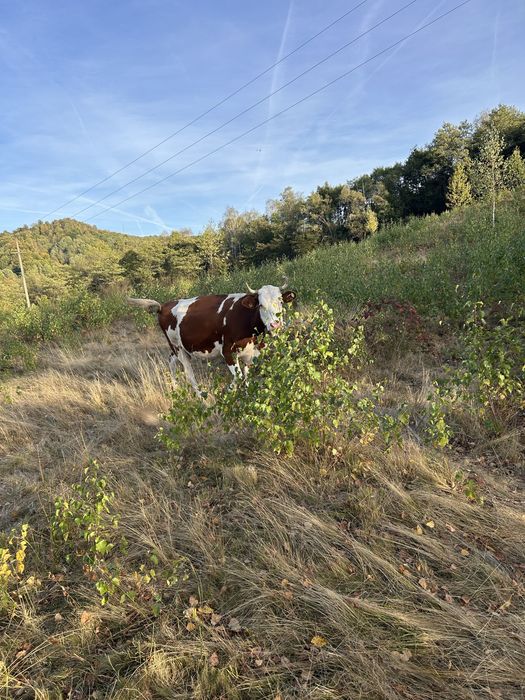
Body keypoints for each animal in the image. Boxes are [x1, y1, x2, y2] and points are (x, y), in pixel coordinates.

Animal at [127, 284, 296, 395]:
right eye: (260, 305)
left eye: (281, 302)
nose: (275, 324)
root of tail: (164, 306)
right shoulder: (227, 351)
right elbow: (238, 377)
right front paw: (227, 395)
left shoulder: (252, 353)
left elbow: (246, 376)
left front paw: (248, 395)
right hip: (177, 347)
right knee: (189, 372)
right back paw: (201, 397)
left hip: (181, 348)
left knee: (171, 361)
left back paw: (175, 387)